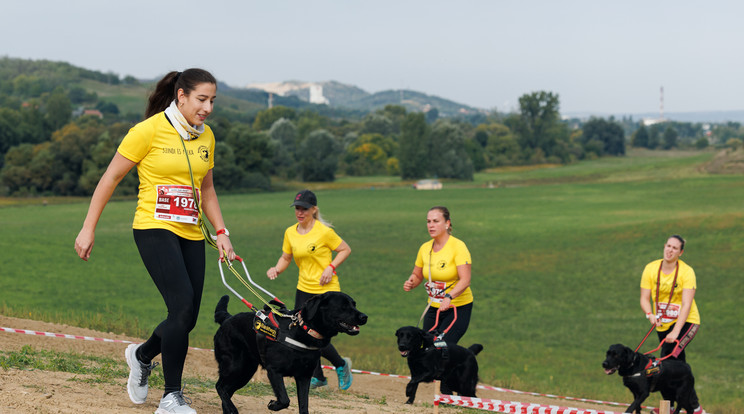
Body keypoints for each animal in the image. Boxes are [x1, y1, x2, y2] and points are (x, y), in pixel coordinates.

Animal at [214, 292, 368, 412]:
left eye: (354, 304)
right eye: (343, 306)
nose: (364, 316)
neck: (302, 329)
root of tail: (227, 318)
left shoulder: (304, 376)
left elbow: (304, 406)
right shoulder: (274, 371)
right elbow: (284, 399)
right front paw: (273, 405)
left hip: (245, 372)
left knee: (226, 390)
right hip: (235, 366)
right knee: (220, 386)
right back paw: (232, 409)